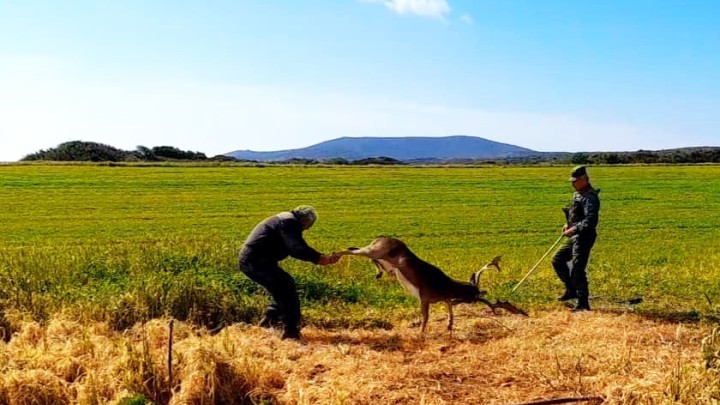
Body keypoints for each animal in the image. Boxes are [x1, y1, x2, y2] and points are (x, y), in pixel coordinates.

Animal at [338, 235, 528, 332]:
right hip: (377, 249)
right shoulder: (424, 296)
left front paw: (449, 325)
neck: (446, 285)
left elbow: (449, 307)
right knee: (351, 250)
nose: (464, 301)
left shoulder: (441, 298)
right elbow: (426, 317)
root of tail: (380, 237)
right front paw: (421, 334)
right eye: (473, 298)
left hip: (378, 255)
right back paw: (334, 256)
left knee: (358, 251)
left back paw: (378, 273)